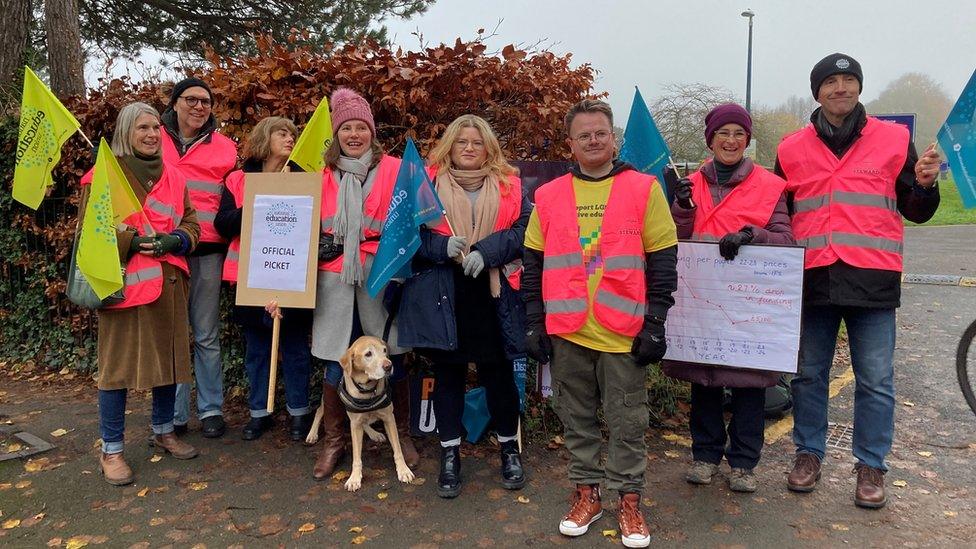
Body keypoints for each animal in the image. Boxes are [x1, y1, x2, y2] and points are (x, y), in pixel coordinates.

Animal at [304, 336, 412, 490]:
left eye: (384, 350)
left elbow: (398, 449)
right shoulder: (354, 425)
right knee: (319, 411)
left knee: (364, 421)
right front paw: (354, 478)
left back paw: (374, 433)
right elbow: (356, 456)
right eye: (368, 354)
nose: (388, 366)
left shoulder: (389, 418)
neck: (367, 389)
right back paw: (312, 434)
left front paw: (404, 470)